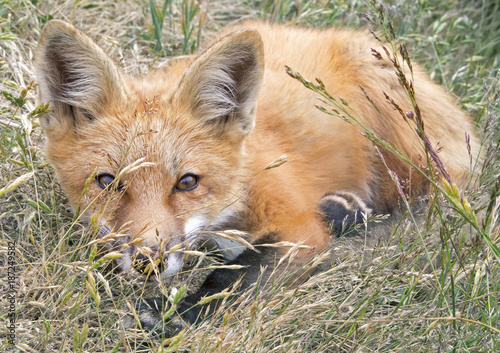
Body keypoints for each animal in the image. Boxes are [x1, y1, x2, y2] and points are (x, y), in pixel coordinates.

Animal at [36, 19, 480, 332]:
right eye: (108, 182)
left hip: (405, 145)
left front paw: (173, 317)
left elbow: (235, 278)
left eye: (187, 182)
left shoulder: (297, 229)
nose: (150, 263)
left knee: (429, 201)